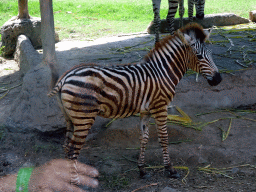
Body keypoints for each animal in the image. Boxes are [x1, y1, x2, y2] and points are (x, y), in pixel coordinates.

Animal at [48, 23, 222, 181]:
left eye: (212, 54)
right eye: (199, 57)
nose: (219, 79)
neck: (163, 72)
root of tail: (64, 77)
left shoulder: (146, 111)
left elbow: (144, 138)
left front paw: (142, 170)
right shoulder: (160, 107)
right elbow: (164, 137)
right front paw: (170, 169)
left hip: (70, 117)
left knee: (66, 146)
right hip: (84, 116)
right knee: (73, 150)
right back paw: (76, 181)